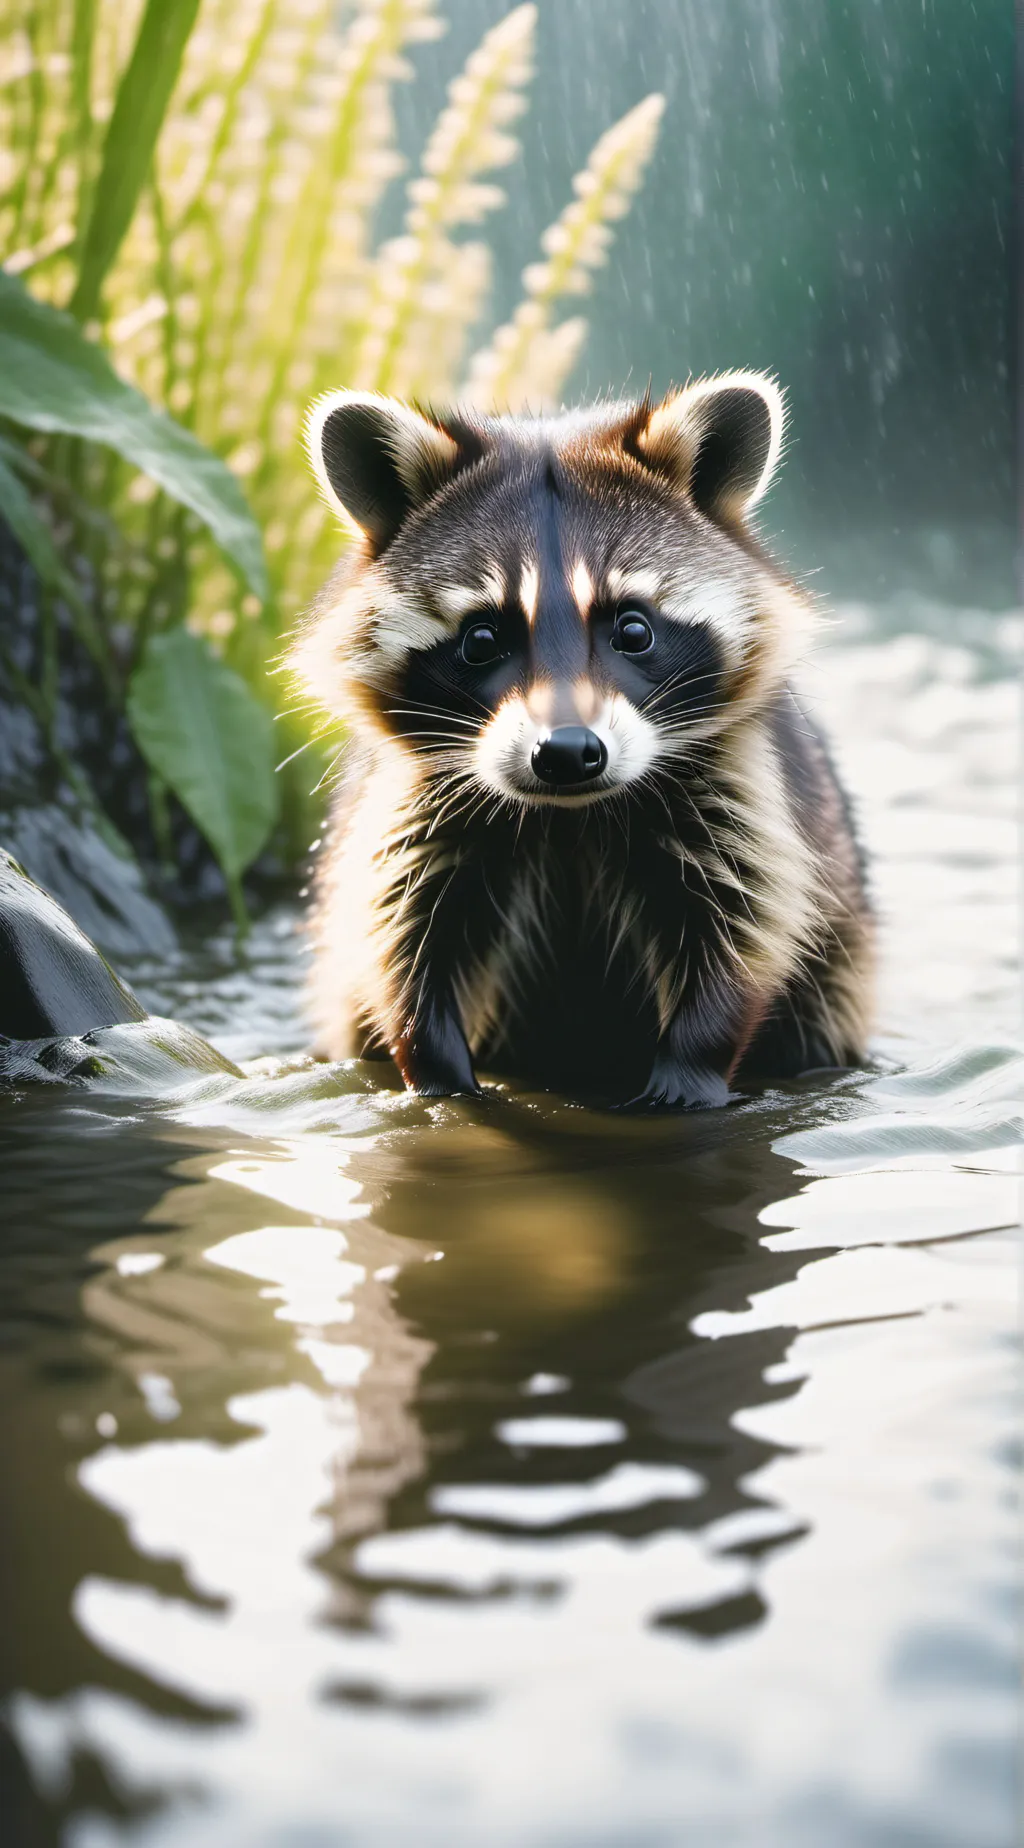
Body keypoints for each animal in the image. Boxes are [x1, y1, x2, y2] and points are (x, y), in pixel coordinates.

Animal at [289, 374, 873, 1109]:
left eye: (633, 629)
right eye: (482, 638)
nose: (567, 752)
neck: (569, 817)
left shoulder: (740, 785)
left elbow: (747, 917)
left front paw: (692, 1066)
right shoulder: (412, 803)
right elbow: (398, 929)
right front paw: (433, 1063)